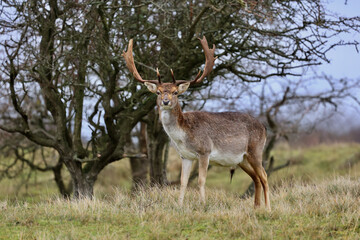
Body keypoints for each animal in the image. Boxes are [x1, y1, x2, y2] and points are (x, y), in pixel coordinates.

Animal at [123, 36, 270, 210]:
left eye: (175, 92)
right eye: (158, 92)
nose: (165, 101)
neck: (184, 135)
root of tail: (264, 128)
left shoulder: (205, 151)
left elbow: (201, 180)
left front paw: (203, 205)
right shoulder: (185, 156)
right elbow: (183, 182)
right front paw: (179, 206)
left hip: (256, 150)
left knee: (264, 176)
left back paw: (268, 208)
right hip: (242, 159)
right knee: (256, 178)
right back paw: (256, 207)